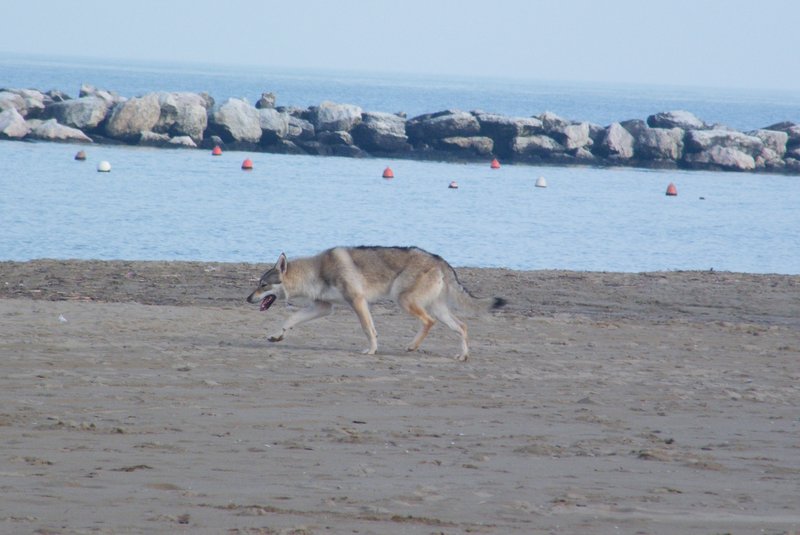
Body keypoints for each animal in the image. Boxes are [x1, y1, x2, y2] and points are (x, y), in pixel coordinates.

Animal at [246, 246, 506, 361]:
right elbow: (291, 319)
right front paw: (276, 336)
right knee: (462, 326)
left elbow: (368, 329)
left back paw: (412, 346)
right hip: (437, 309)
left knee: (429, 322)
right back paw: (462, 356)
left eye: (263, 285)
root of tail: (439, 259)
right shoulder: (323, 307)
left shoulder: (357, 301)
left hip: (405, 301)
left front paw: (371, 350)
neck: (315, 272)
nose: (247, 298)